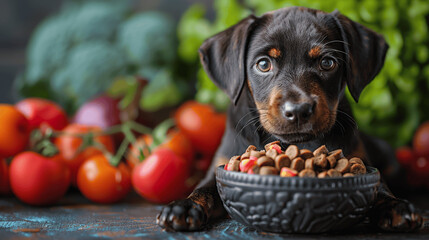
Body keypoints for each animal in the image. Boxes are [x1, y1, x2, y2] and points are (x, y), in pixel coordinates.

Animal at [156, 7, 422, 232]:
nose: (298, 110)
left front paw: (394, 205)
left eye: (327, 62)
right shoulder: (221, 164)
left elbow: (379, 187)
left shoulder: (361, 161)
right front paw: (184, 206)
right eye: (263, 64)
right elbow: (204, 189)